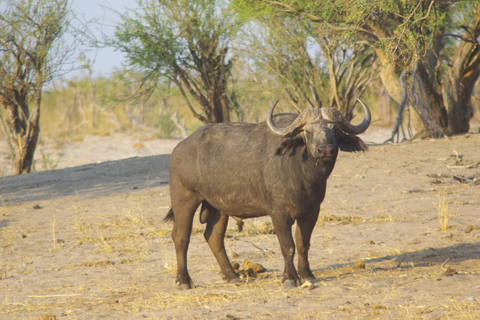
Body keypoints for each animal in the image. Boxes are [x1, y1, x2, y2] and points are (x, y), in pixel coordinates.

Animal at [165, 99, 372, 288]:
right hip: (184, 199)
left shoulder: (312, 212)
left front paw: (307, 274)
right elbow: (288, 246)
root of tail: (178, 148)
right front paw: (290, 278)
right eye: (308, 131)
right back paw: (184, 281)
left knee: (213, 237)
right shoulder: (278, 213)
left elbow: (303, 244)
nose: (326, 150)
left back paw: (232, 276)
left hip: (219, 207)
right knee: (181, 237)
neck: (302, 173)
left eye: (335, 130)